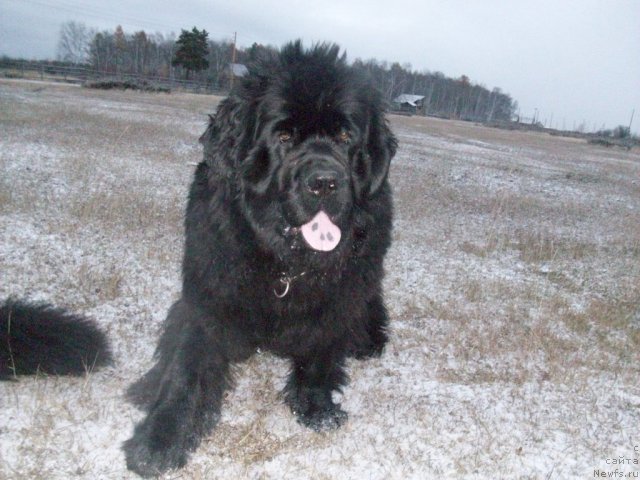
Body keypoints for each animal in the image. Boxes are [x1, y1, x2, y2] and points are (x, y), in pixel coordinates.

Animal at [0, 41, 398, 476]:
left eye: (345, 136)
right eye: (284, 136)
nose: (325, 182)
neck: (283, 263)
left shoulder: (337, 303)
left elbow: (321, 355)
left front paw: (317, 407)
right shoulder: (208, 297)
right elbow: (185, 371)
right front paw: (159, 440)